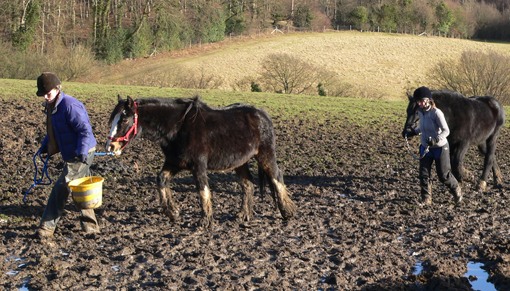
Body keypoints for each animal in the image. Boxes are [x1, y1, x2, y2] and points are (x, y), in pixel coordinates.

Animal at [105, 94, 296, 229]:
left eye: (124, 119)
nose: (110, 146)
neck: (178, 128)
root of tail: (262, 114)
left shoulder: (198, 167)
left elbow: (203, 191)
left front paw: (205, 222)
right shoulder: (174, 163)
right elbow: (161, 180)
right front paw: (173, 213)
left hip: (265, 155)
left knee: (277, 177)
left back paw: (287, 212)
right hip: (240, 162)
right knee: (247, 184)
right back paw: (244, 214)